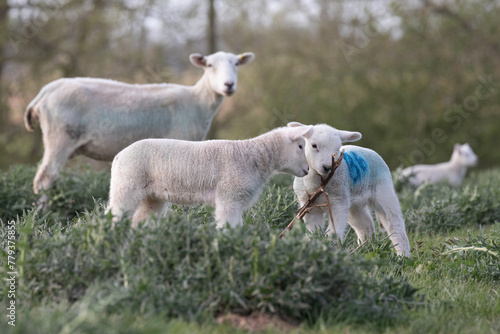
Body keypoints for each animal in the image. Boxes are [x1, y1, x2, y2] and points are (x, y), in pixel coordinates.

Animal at [23, 50, 254, 209]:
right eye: (209, 65)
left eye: (236, 63)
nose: (228, 85)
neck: (198, 101)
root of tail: (44, 92)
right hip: (60, 136)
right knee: (45, 179)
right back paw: (42, 212)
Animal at [109, 124, 312, 228]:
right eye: (300, 146)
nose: (308, 170)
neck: (254, 156)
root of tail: (118, 156)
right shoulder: (230, 196)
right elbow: (228, 225)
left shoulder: (237, 200)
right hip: (127, 185)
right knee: (115, 212)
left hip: (152, 196)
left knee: (139, 219)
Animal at [292, 124, 412, 258]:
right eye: (314, 145)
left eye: (337, 148)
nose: (327, 167)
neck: (318, 183)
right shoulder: (309, 206)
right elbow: (312, 231)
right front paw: (313, 246)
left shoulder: (339, 203)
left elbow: (333, 232)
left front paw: (328, 247)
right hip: (354, 204)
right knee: (366, 225)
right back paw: (364, 249)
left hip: (384, 192)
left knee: (395, 226)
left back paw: (403, 256)